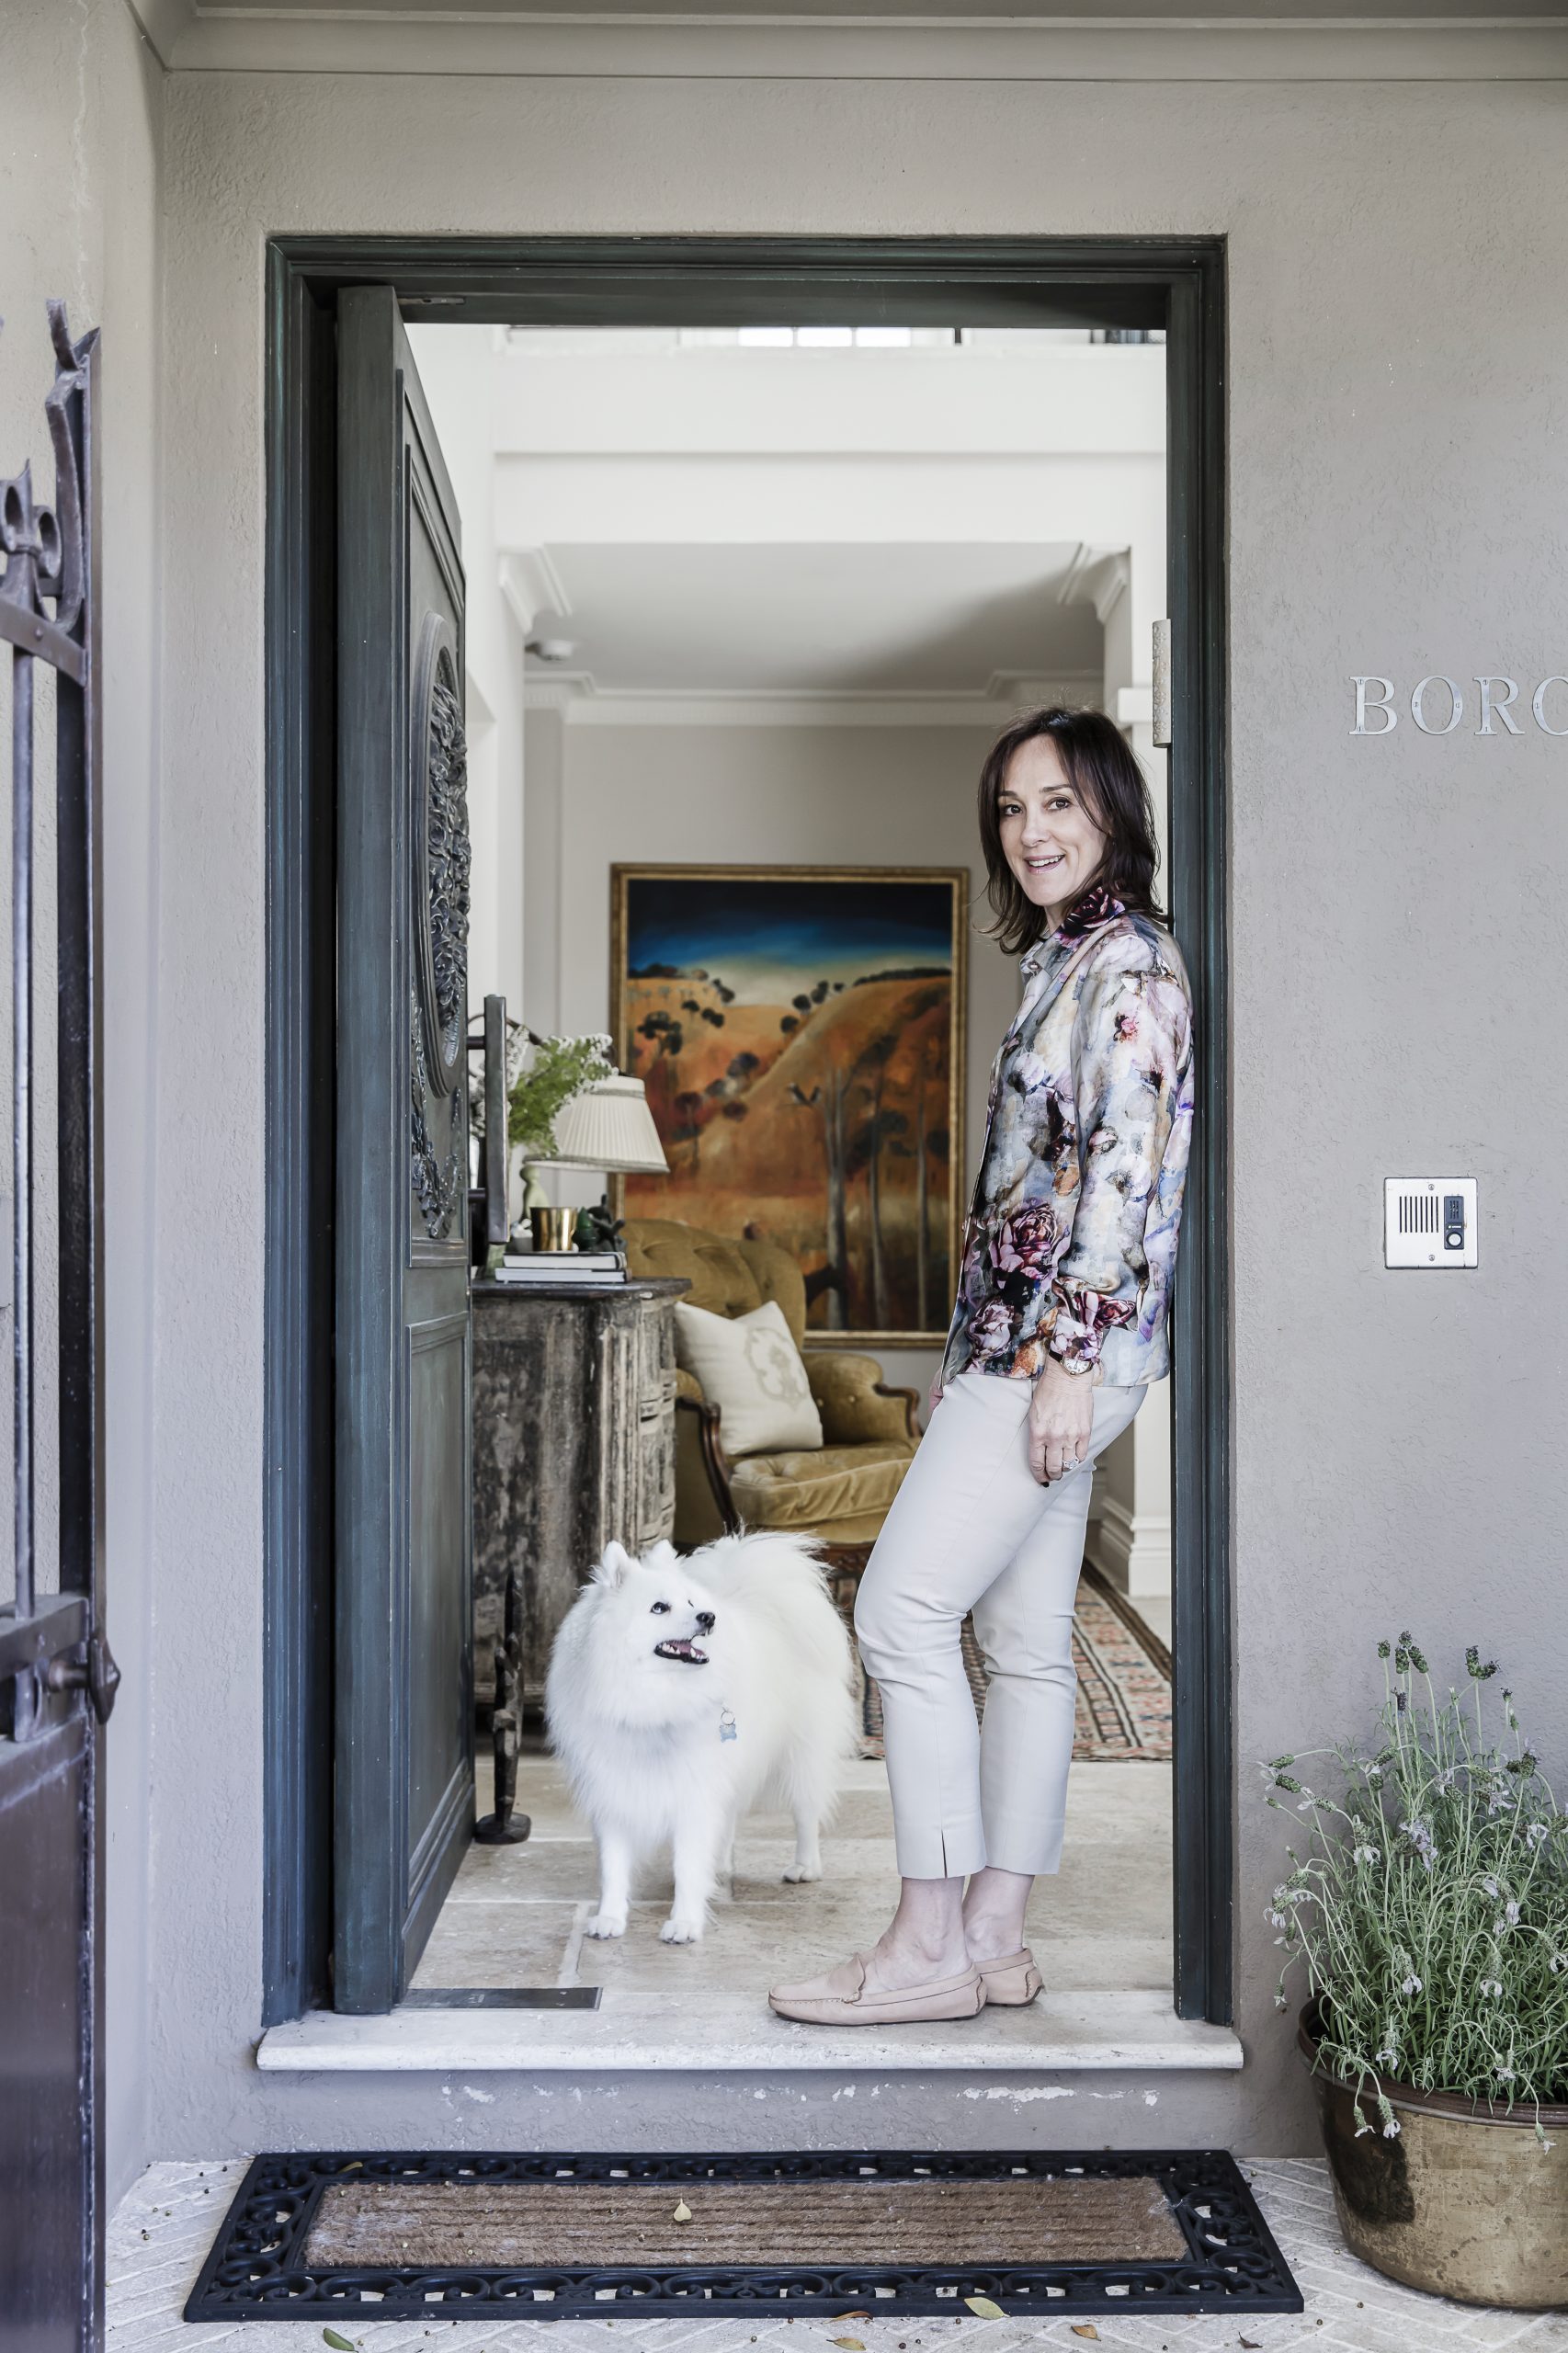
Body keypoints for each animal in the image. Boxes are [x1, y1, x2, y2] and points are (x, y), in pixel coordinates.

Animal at [541, 1534, 857, 1938]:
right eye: (659, 1607)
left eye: (691, 1603)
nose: (709, 1617)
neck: (651, 1702)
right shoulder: (612, 1791)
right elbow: (613, 1866)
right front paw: (610, 1918)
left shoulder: (694, 1791)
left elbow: (687, 1866)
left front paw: (684, 1923)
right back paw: (720, 1865)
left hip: (800, 1756)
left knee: (806, 1812)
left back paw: (806, 1866)